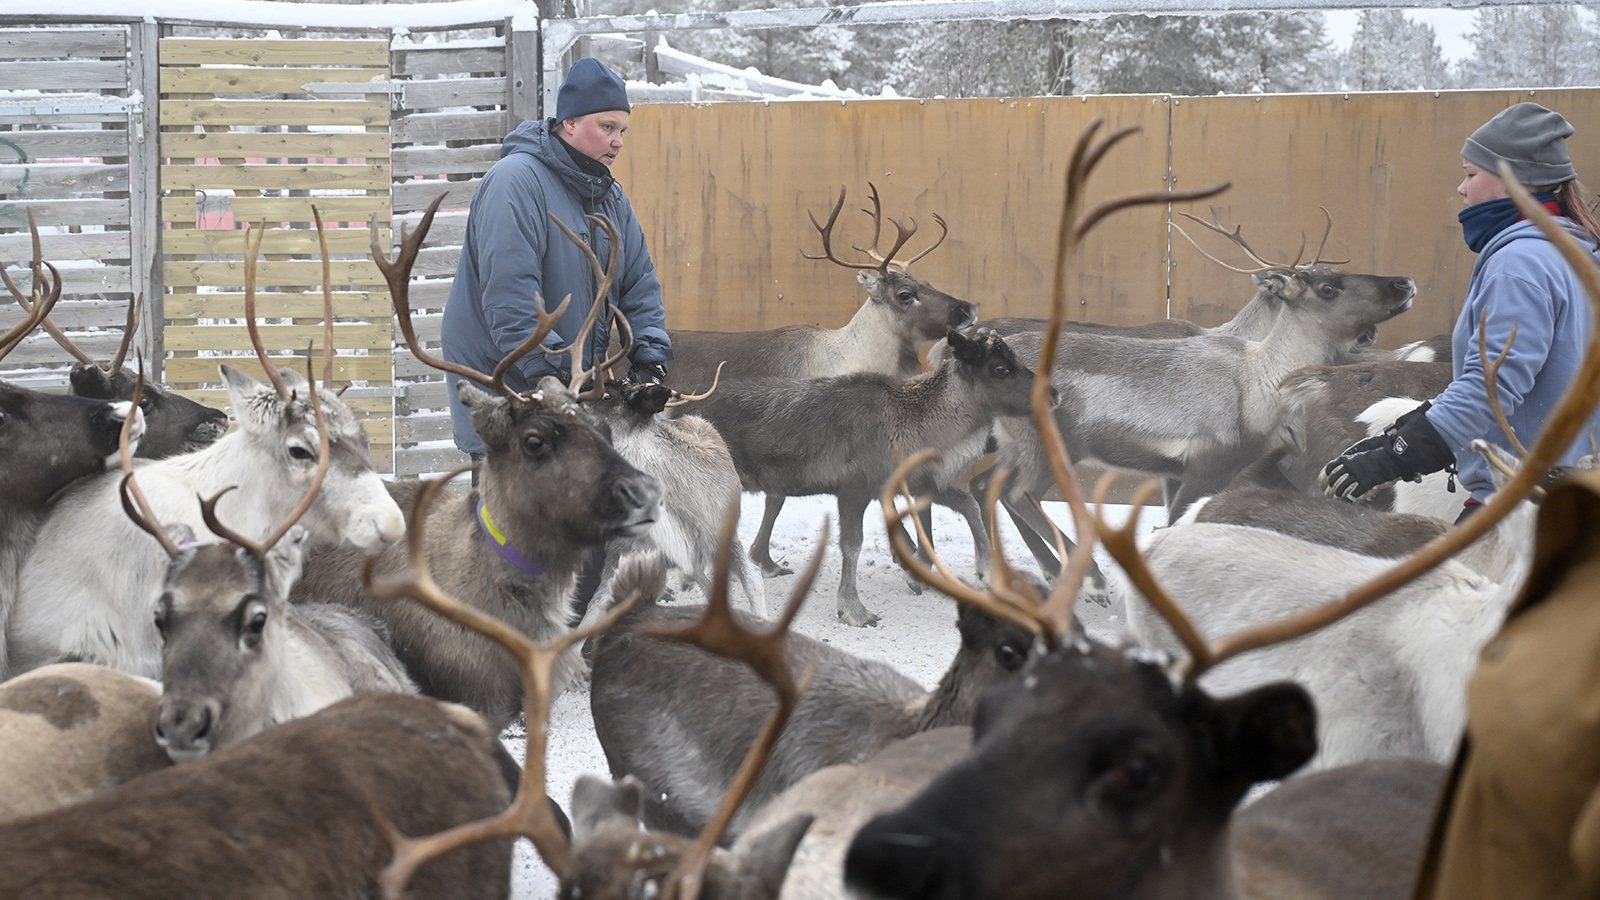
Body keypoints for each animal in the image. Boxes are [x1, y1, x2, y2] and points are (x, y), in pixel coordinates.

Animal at [665, 185, 979, 580]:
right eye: (905, 294)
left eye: (929, 282)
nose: (968, 308)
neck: (851, 356)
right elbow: (777, 497)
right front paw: (764, 559)